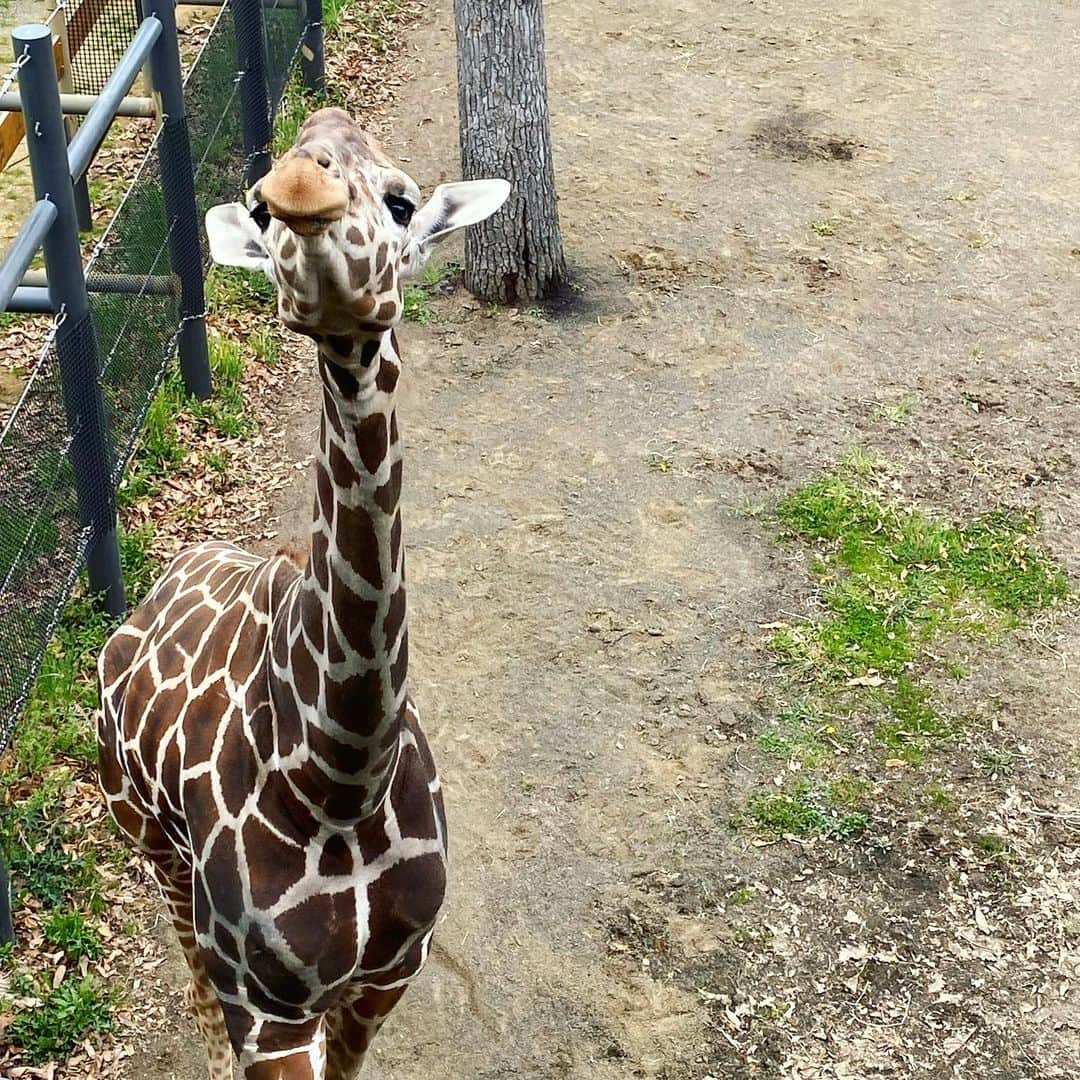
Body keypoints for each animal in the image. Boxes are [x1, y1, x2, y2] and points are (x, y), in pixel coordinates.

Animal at [97, 111, 509, 1080]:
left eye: (403, 201)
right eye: (257, 208)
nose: (296, 188)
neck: (338, 780)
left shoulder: (390, 973)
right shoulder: (269, 1010)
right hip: (146, 835)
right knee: (189, 962)